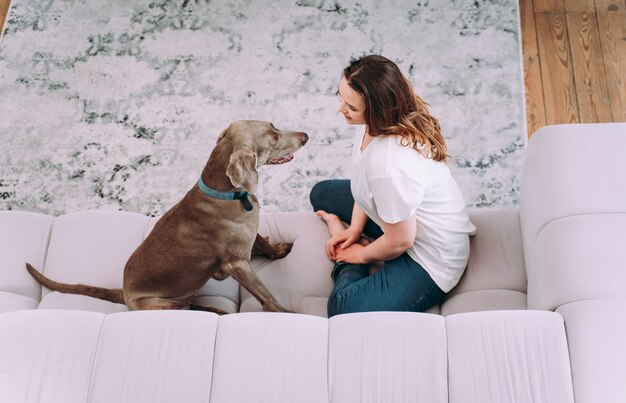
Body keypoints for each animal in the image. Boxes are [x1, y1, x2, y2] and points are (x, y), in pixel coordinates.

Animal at [25, 121, 308, 314]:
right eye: (273, 138)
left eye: (275, 126)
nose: (306, 136)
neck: (227, 193)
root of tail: (124, 293)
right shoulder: (237, 264)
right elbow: (266, 295)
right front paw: (286, 314)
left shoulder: (248, 236)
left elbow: (262, 242)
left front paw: (278, 249)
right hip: (162, 305)